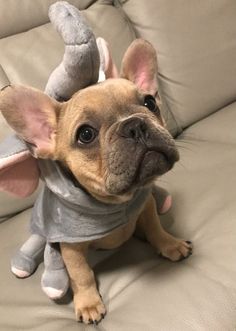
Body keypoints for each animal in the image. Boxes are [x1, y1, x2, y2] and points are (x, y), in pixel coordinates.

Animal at [0, 39, 192, 324]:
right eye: (86, 134)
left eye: (149, 103)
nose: (135, 125)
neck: (115, 202)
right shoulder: (71, 248)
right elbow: (82, 275)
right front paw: (89, 303)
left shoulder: (145, 207)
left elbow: (156, 227)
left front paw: (170, 244)